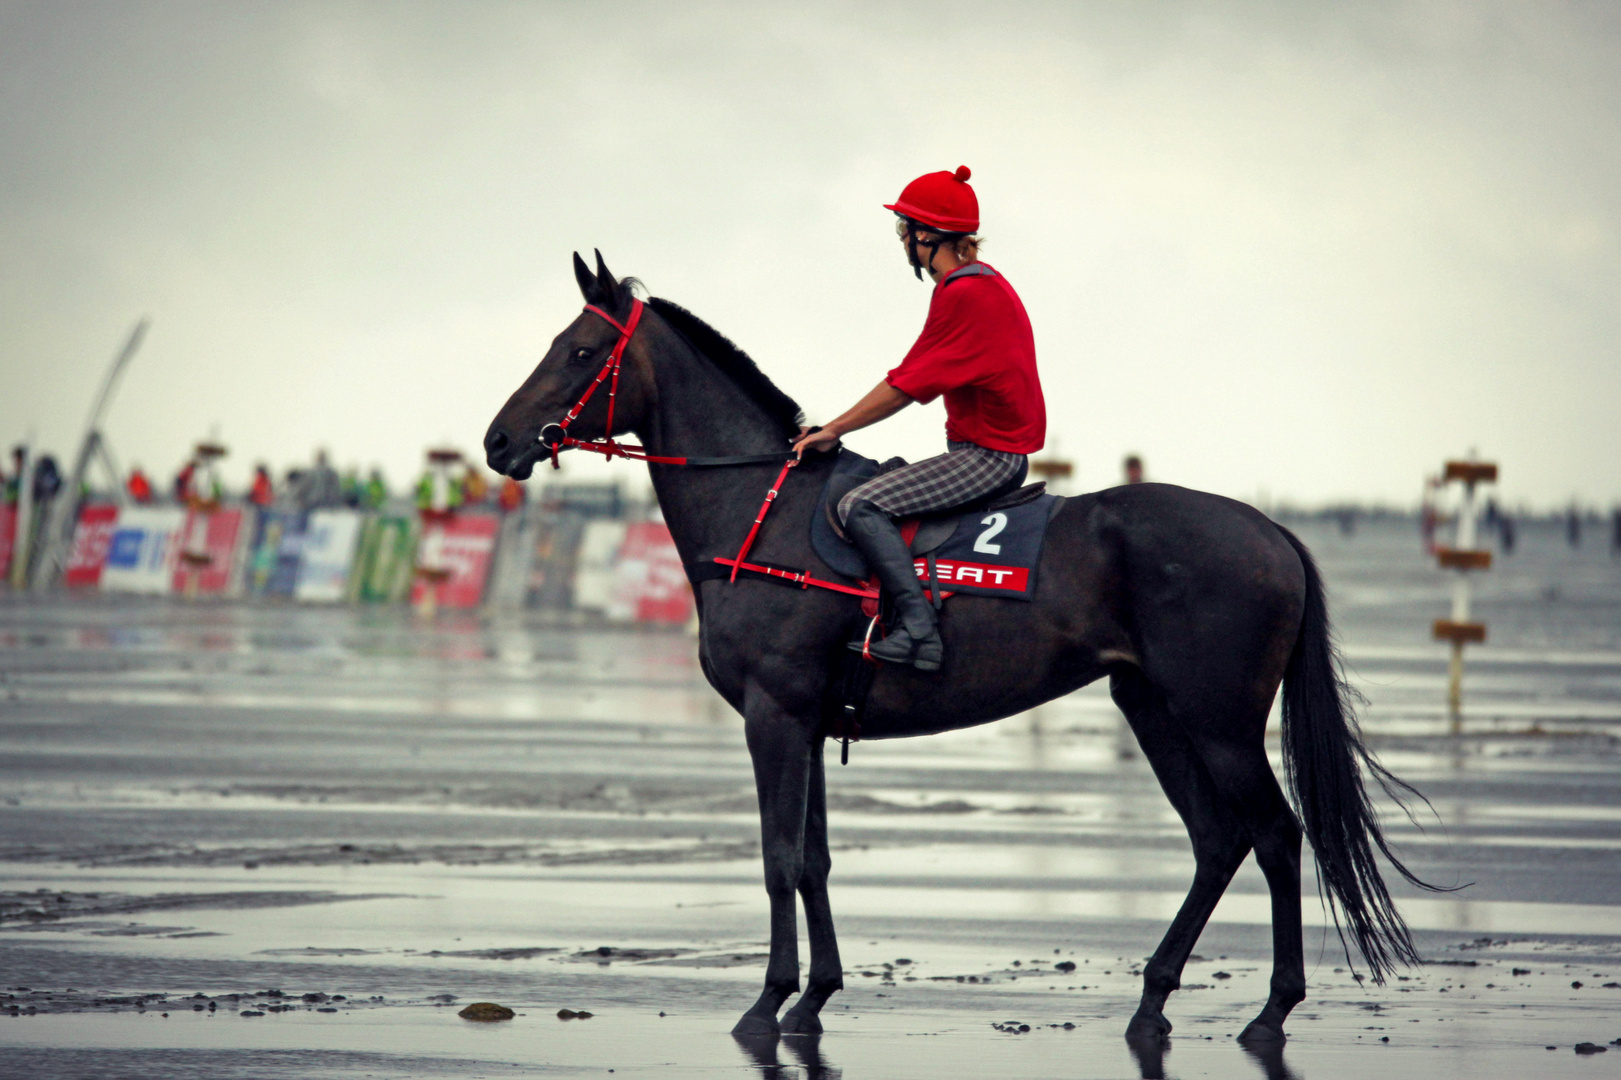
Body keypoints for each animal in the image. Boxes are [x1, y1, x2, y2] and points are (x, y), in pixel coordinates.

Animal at [479, 252, 1432, 1044]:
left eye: (576, 351)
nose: (497, 441)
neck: (764, 507)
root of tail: (1268, 529)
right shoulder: (810, 724)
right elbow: (814, 859)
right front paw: (815, 995)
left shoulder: (773, 714)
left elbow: (779, 858)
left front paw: (768, 998)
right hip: (1153, 709)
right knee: (1216, 839)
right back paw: (1153, 997)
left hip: (1218, 721)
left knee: (1272, 836)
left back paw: (1271, 1009)